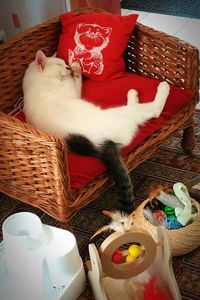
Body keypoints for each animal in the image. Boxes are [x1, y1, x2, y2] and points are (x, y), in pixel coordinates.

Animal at [23, 49, 170, 213]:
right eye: (59, 64)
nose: (68, 67)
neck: (34, 84)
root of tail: (100, 147)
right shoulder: (69, 90)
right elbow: (76, 82)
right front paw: (76, 69)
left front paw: (75, 67)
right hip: (122, 114)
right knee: (153, 110)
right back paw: (163, 87)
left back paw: (133, 94)